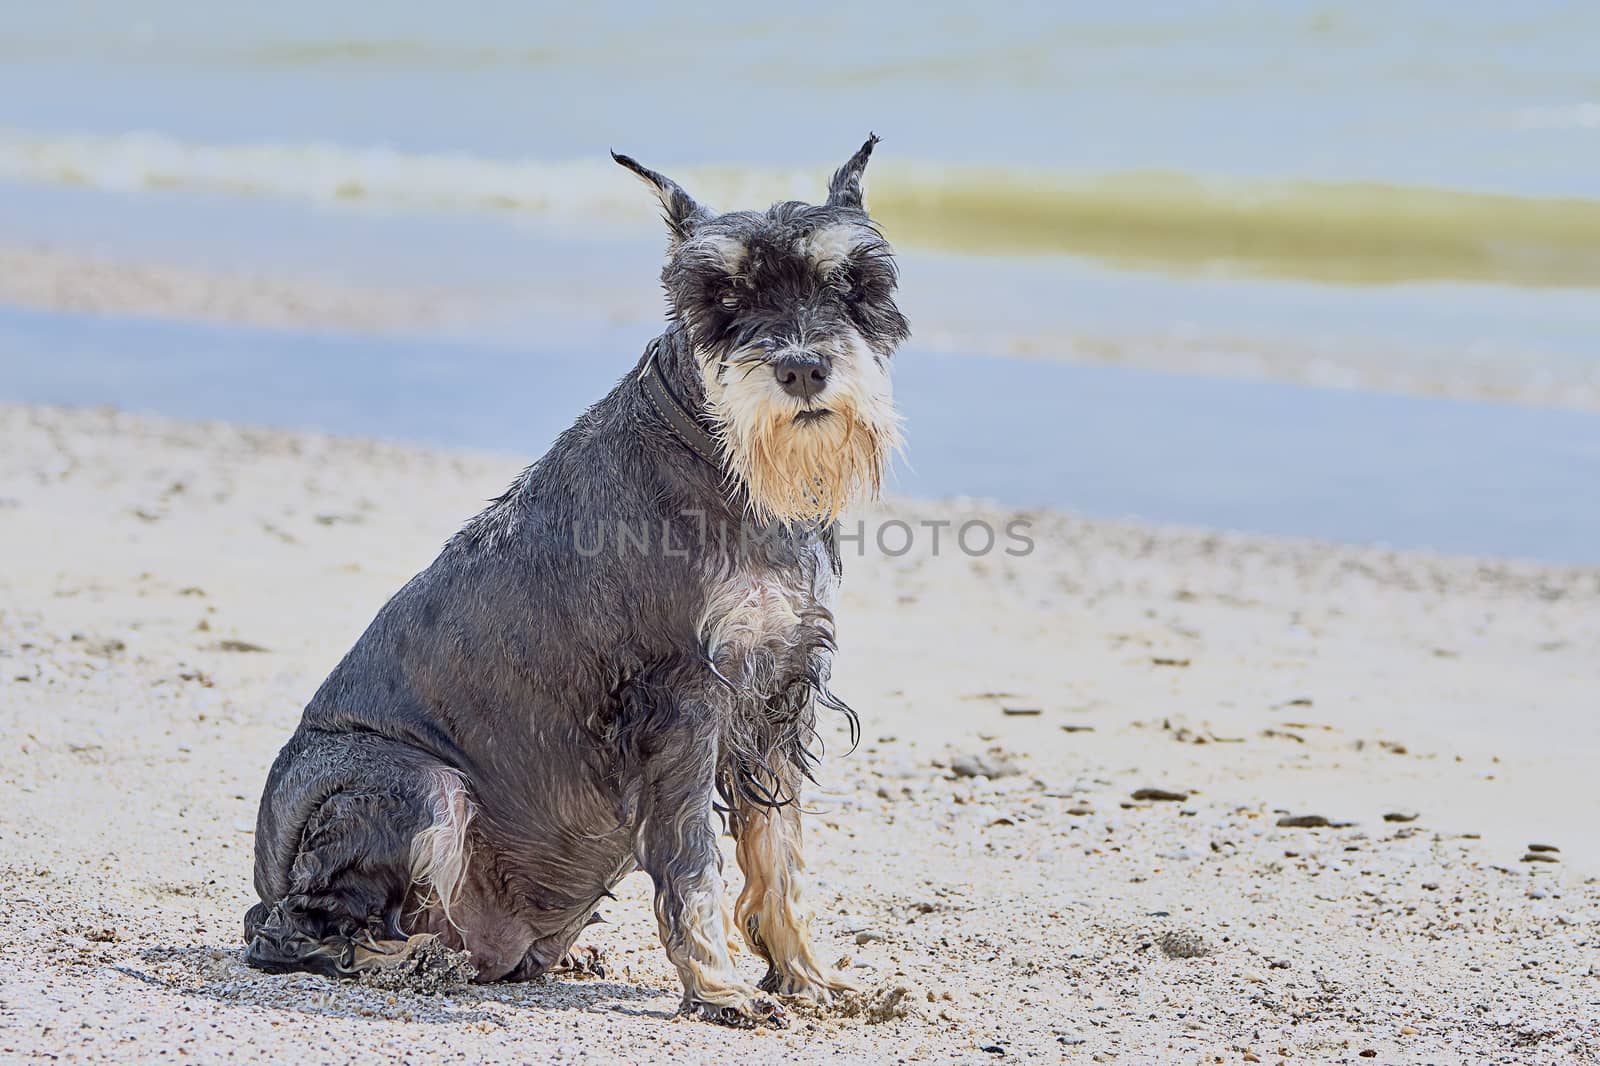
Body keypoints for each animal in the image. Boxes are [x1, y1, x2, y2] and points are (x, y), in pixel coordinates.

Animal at [240, 135, 915, 1024]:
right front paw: (719, 987)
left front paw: (812, 976)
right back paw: (412, 961)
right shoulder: (681, 705)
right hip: (418, 786)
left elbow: (779, 855)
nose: (803, 369)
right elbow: (694, 860)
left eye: (852, 282)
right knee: (291, 930)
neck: (720, 458)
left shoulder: (776, 697)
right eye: (720, 294)